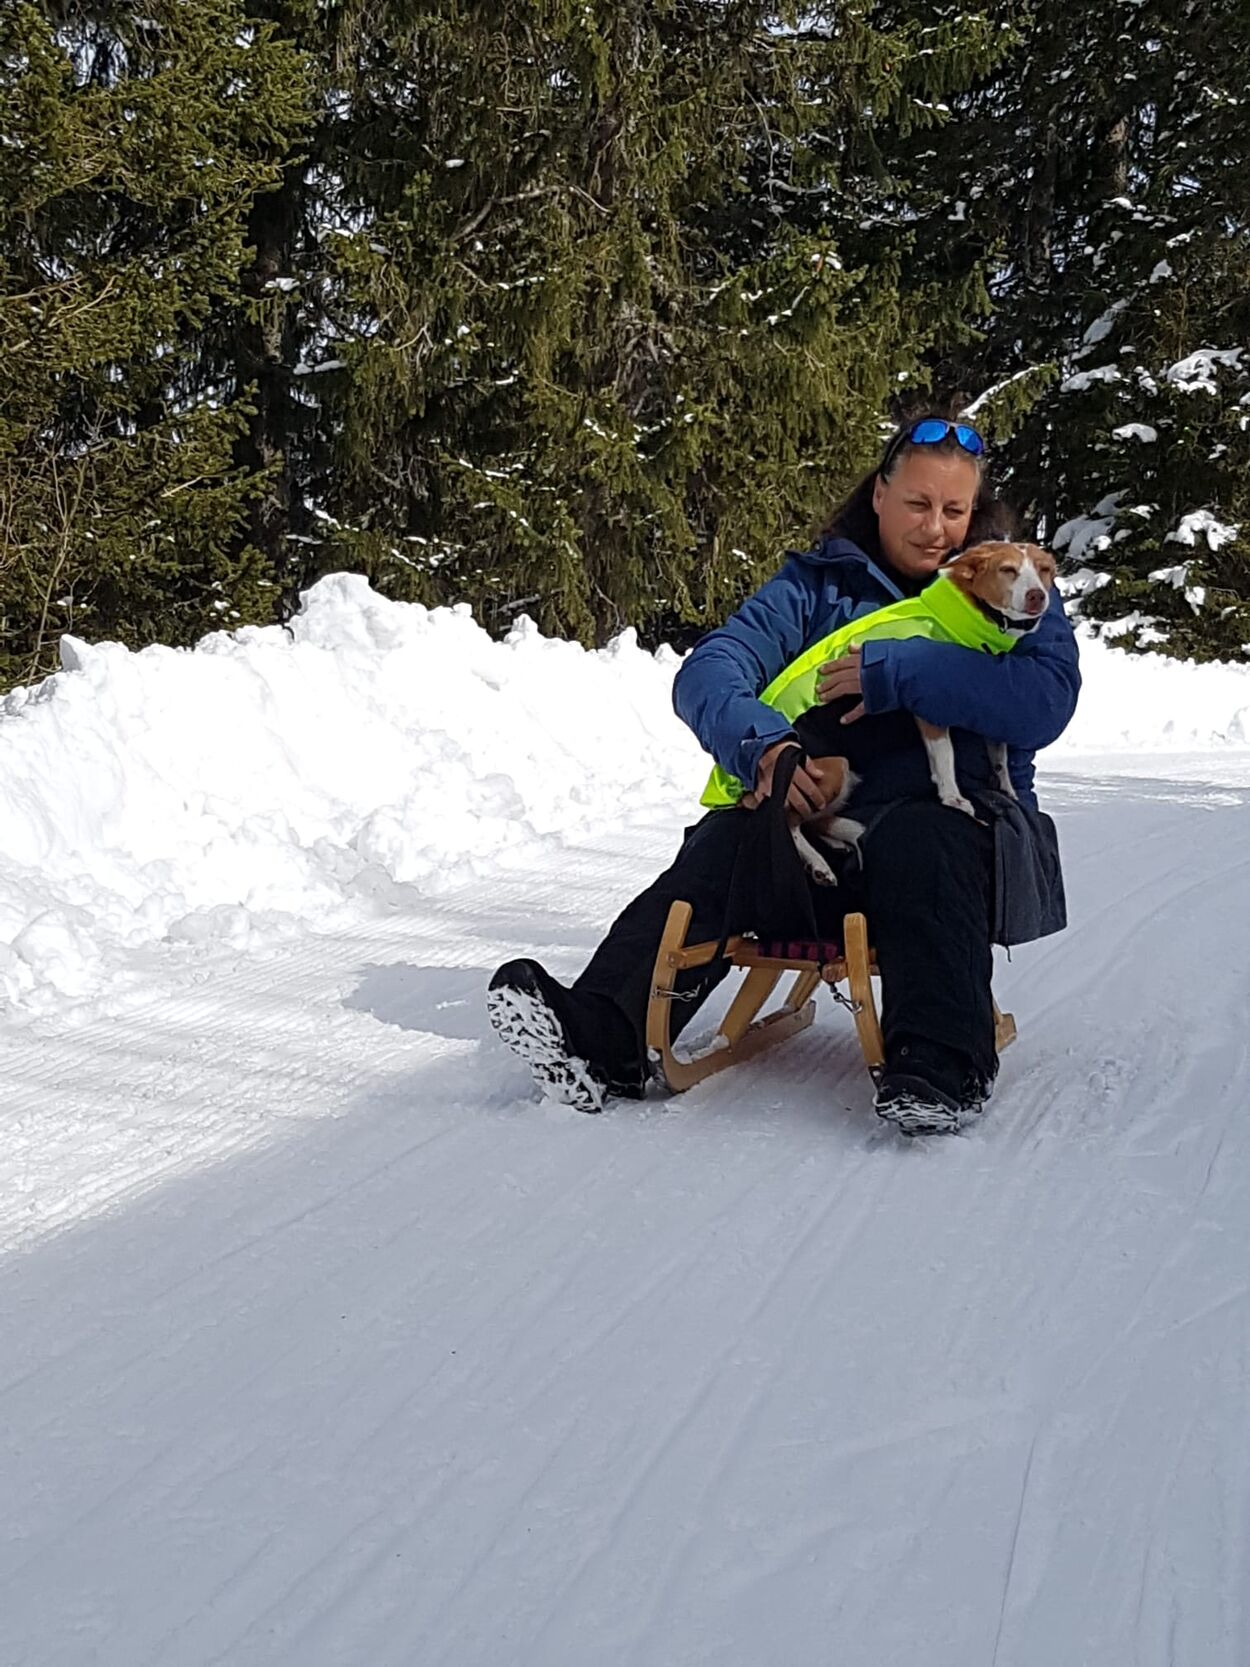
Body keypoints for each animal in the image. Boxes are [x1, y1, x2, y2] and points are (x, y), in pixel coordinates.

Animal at [786, 541, 1058, 885]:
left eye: (1044, 570)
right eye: (1007, 570)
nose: (1037, 595)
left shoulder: (984, 707)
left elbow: (999, 760)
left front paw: (1007, 792)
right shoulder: (930, 709)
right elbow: (946, 757)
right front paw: (954, 799)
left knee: (816, 820)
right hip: (829, 768)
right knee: (789, 821)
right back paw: (817, 863)